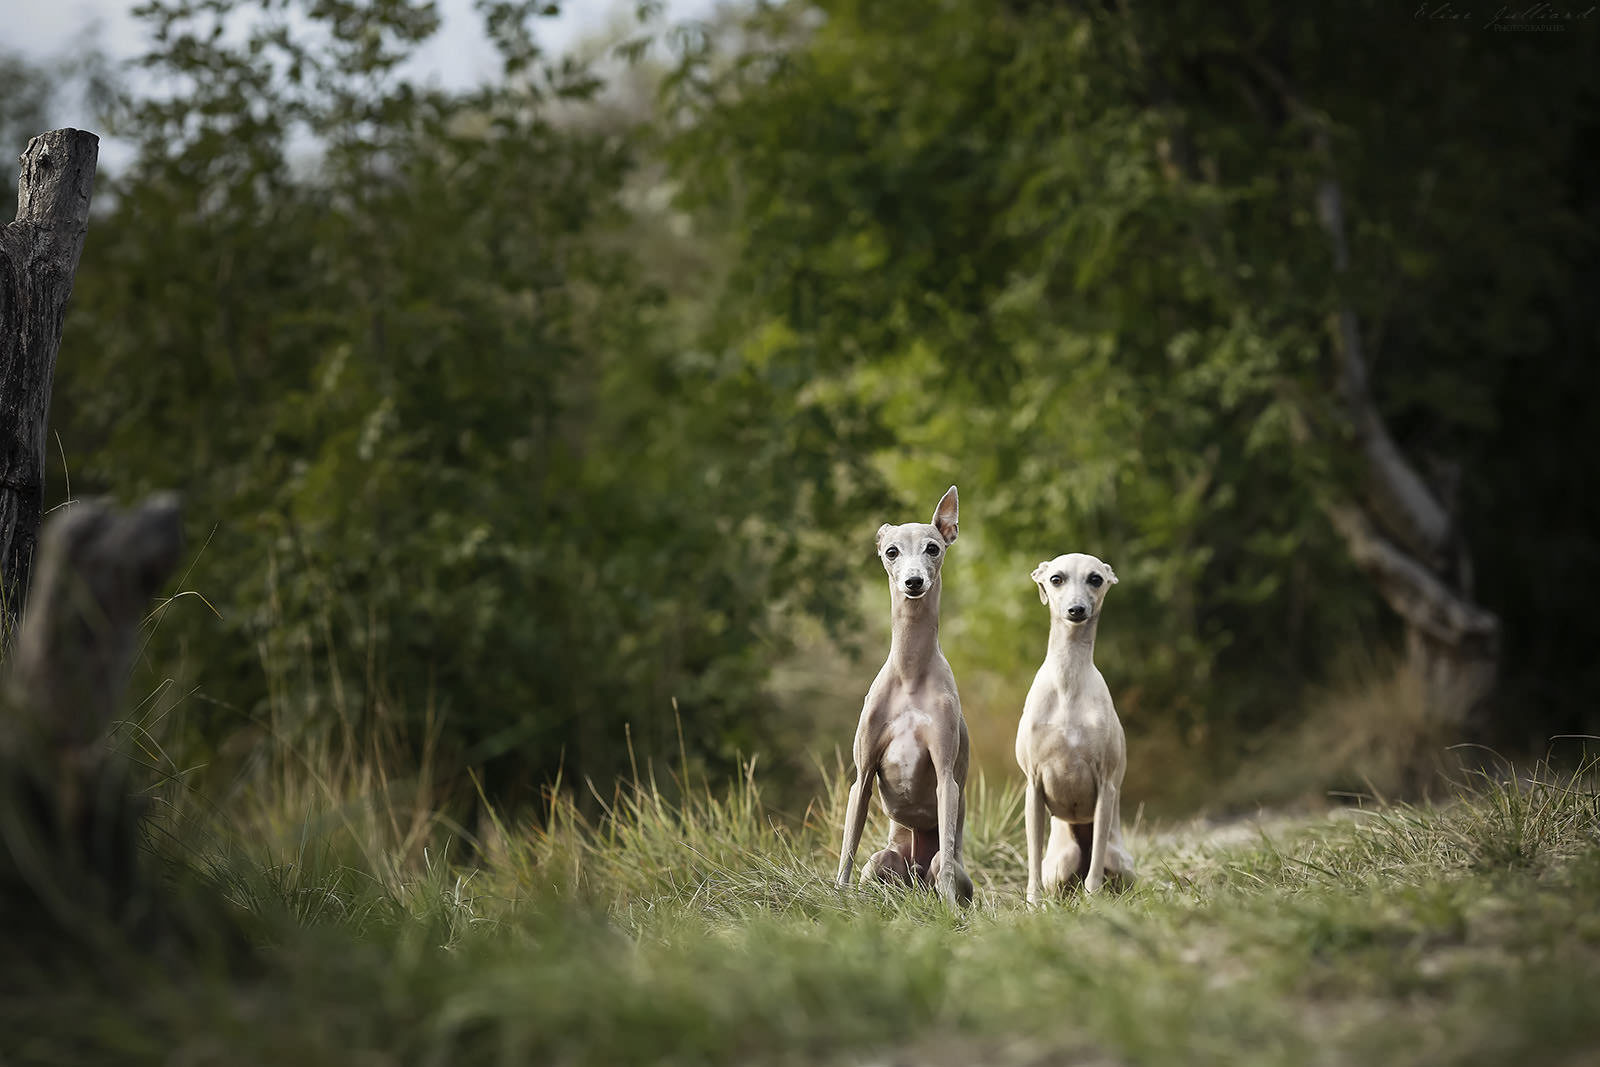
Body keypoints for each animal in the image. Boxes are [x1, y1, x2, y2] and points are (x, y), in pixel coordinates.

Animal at [838, 489, 972, 908]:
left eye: (933, 548)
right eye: (891, 551)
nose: (914, 582)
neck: (911, 675)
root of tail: (915, 877)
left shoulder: (947, 777)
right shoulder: (862, 776)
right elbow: (847, 849)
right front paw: (836, 897)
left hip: (944, 866)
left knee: (942, 867)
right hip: (882, 861)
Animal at [1017, 556, 1132, 908]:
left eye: (1095, 579)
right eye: (1056, 578)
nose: (1076, 610)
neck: (1068, 683)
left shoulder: (1106, 786)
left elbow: (1095, 871)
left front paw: (1094, 901)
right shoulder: (1033, 787)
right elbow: (1032, 861)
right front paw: (1033, 905)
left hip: (1118, 859)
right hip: (1062, 860)